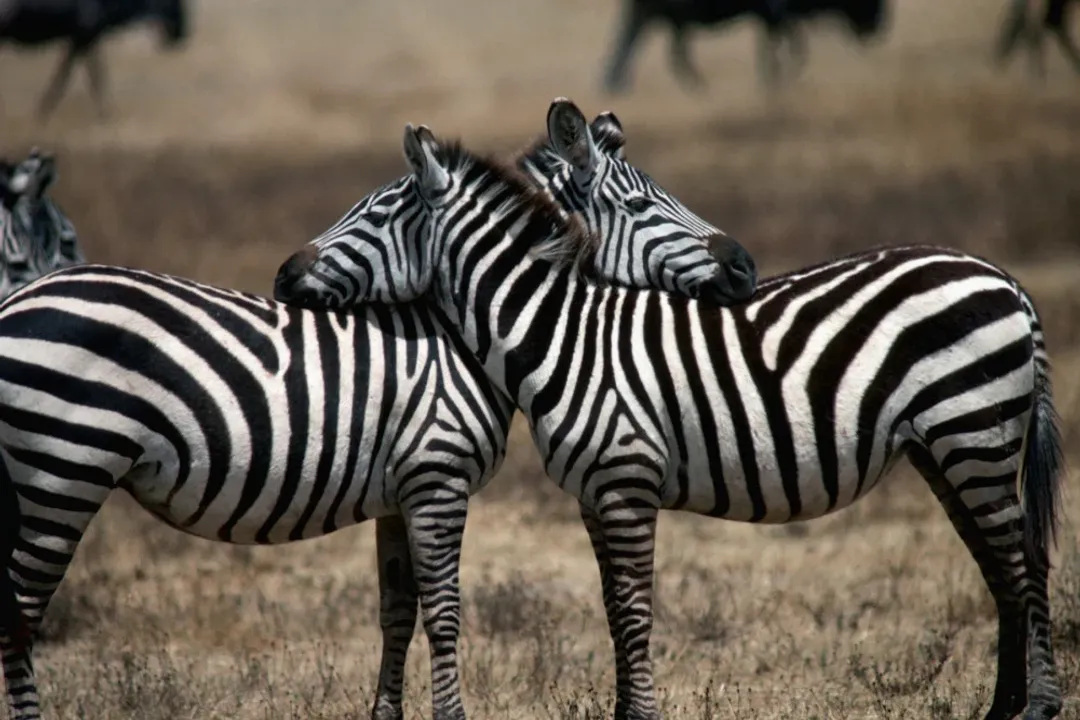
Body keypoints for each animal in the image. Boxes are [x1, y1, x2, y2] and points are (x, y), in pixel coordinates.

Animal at [0, 0, 188, 120]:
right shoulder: (85, 37)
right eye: (173, 2)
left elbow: (73, 76)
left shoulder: (83, 39)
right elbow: (90, 78)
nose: (181, 36)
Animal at [274, 124, 1065, 720]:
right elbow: (612, 607)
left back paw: (1038, 707)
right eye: (642, 203)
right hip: (947, 448)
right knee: (999, 567)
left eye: (374, 213)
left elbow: (633, 611)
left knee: (1025, 562)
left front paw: (642, 714)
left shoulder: (627, 482)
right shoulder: (595, 492)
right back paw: (1001, 708)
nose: (283, 275)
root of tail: (1008, 282)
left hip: (975, 431)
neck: (563, 331)